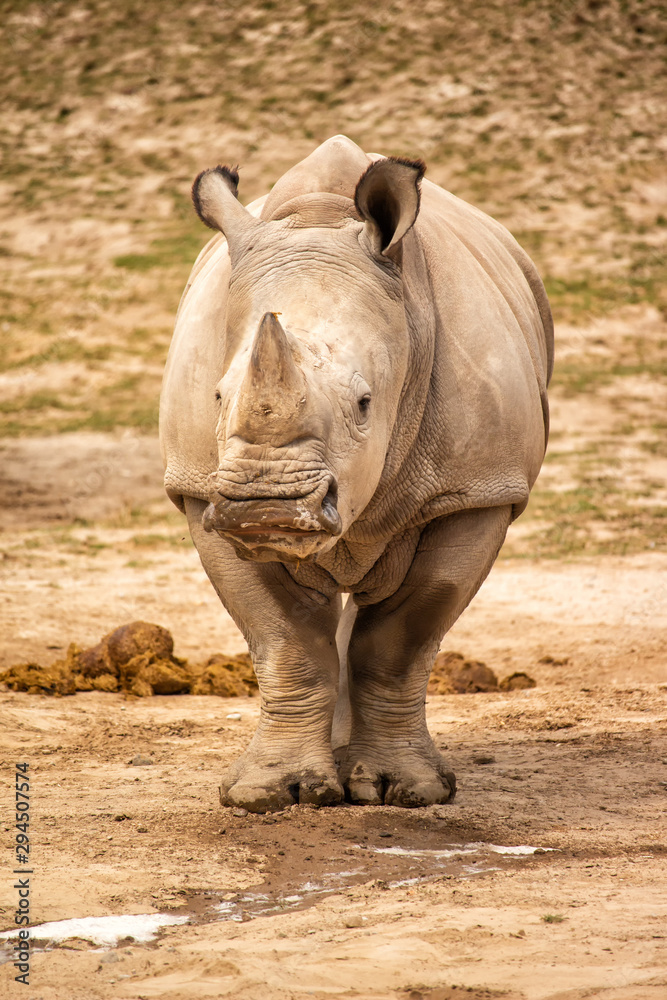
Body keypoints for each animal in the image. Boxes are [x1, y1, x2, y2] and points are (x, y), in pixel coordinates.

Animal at [160, 135, 553, 813]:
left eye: (366, 403)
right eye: (216, 397)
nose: (267, 506)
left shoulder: (474, 491)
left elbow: (400, 641)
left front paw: (406, 790)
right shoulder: (200, 489)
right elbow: (285, 640)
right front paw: (273, 793)